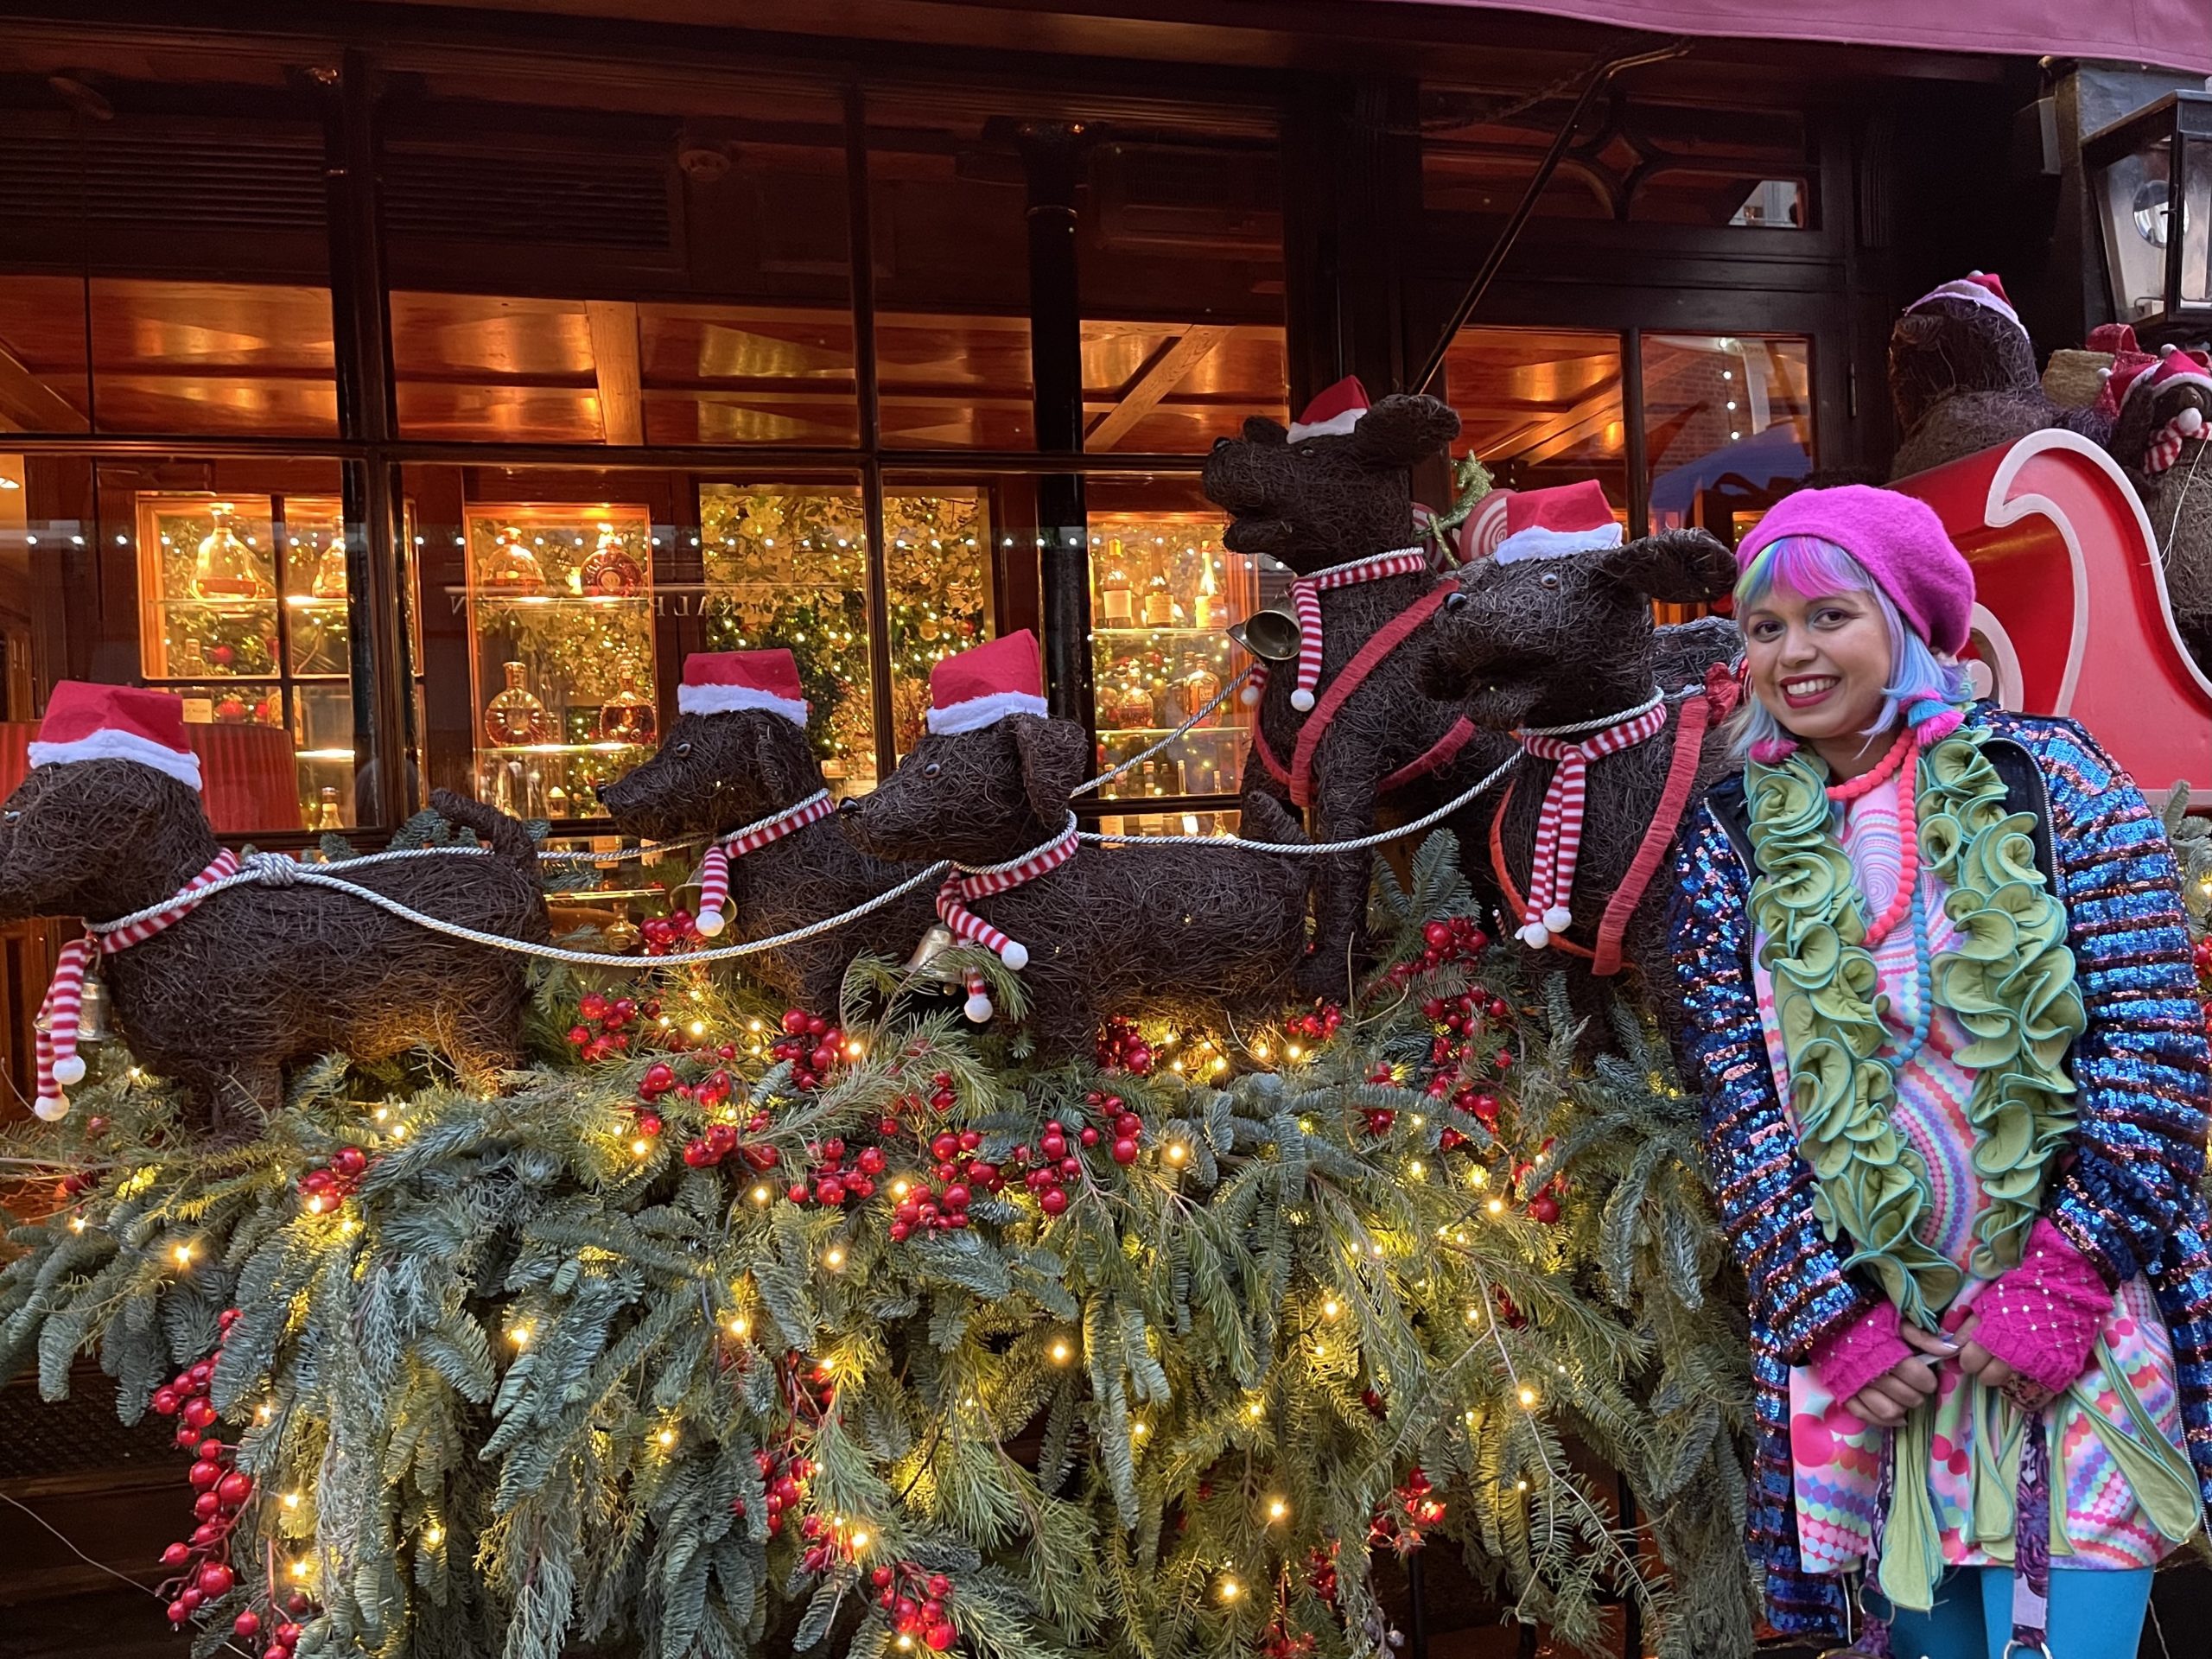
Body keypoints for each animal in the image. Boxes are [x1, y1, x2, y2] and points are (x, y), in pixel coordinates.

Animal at [0, 747, 548, 1141]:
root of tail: (512, 864)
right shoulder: (202, 1071)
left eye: (17, 815)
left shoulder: (244, 1060)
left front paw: (229, 1157)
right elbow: (196, 1115)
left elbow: (246, 1123)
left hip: (476, 1020)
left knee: (504, 1079)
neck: (182, 911)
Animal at [836, 703, 1300, 1065]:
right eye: (905, 763)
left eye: (934, 770)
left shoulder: (1068, 1002)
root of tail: (1282, 869)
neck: (1025, 881)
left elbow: (1065, 1067)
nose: (850, 807)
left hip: (1252, 992)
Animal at [1211, 380, 1522, 1000]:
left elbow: (1340, 868)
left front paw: (1329, 974)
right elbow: (1255, 831)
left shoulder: (1351, 760)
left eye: (1310, 454)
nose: (1219, 445)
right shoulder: (1265, 763)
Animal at [1415, 519, 1743, 1026]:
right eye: (1483, 583)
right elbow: (1575, 1034)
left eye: (1552, 581)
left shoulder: (1670, 942)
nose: (1455, 604)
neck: (1577, 757)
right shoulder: (1548, 955)